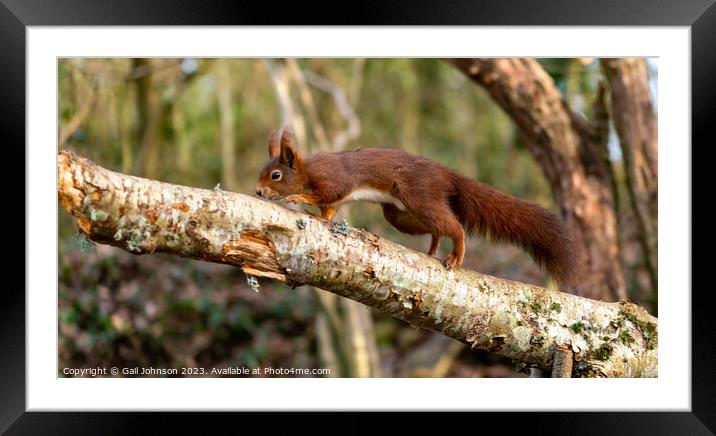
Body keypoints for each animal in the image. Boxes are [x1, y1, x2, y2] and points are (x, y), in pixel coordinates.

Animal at [255, 127, 580, 288]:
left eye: (276, 175)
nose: (258, 191)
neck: (308, 171)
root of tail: (446, 175)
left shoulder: (334, 180)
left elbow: (328, 194)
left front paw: (299, 199)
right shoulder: (335, 201)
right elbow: (330, 211)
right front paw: (318, 216)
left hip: (418, 196)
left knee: (455, 226)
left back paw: (455, 254)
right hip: (400, 214)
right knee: (435, 227)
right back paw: (433, 247)